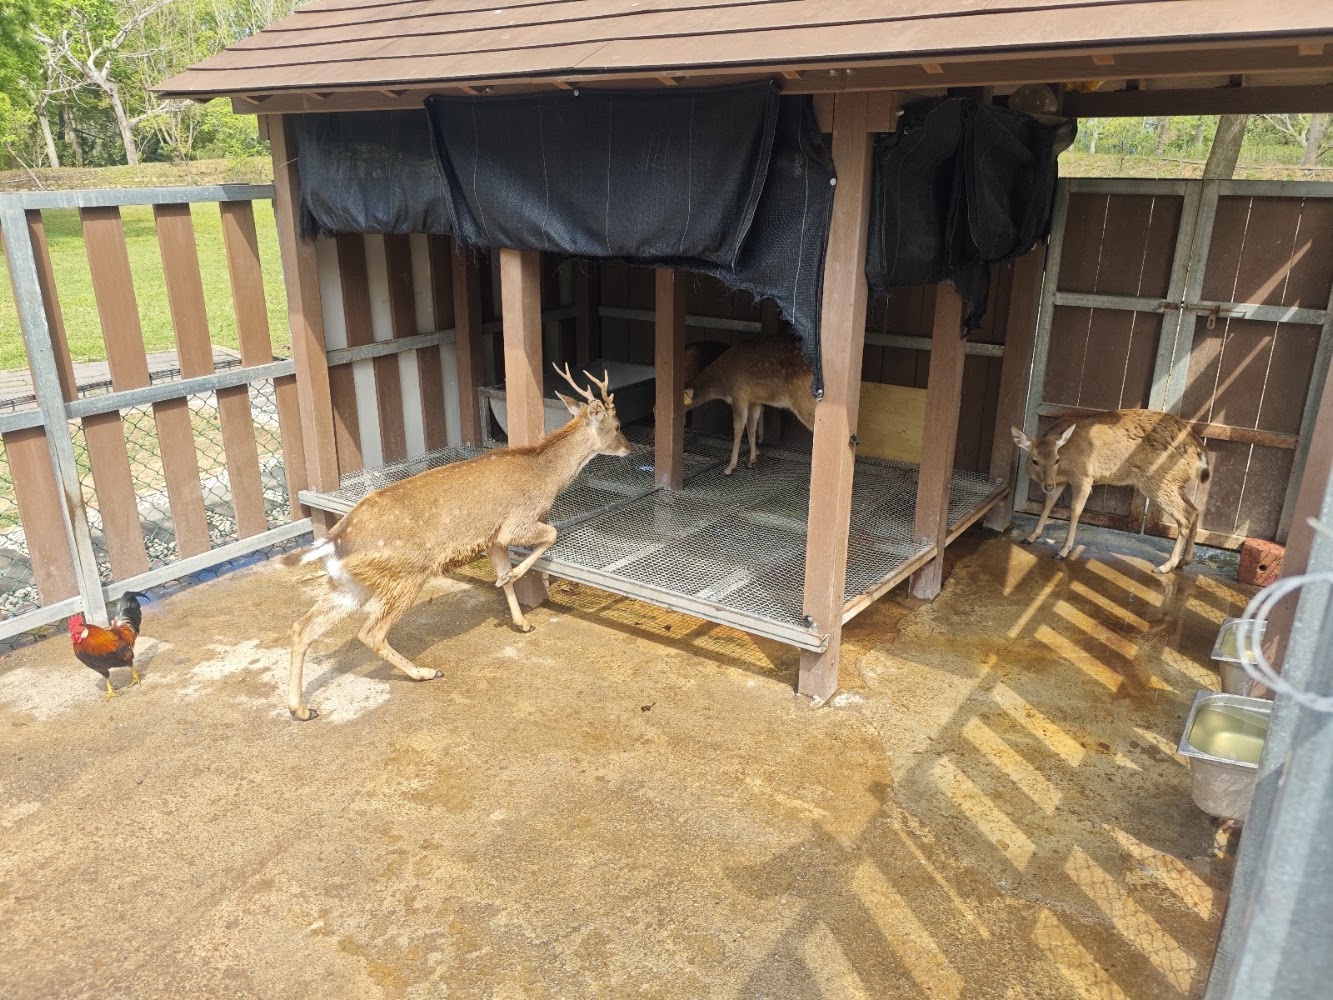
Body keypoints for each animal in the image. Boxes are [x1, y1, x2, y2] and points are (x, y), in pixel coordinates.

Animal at [283, 364, 631, 721]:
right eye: (618, 424)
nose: (629, 447)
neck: (546, 477)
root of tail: (336, 541)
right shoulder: (515, 522)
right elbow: (550, 535)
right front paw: (516, 579)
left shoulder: (491, 538)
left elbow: (504, 574)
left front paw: (522, 622)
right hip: (407, 573)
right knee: (370, 631)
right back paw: (424, 672)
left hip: (351, 584)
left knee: (302, 627)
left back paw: (301, 708)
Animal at [682, 336, 815, 475]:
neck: (723, 384)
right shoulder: (754, 400)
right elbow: (751, 426)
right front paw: (752, 461)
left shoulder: (739, 395)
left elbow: (738, 427)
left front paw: (730, 468)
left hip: (803, 400)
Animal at [1011, 408, 1211, 575]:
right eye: (1035, 460)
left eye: (1056, 459)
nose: (1047, 485)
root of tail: (1200, 452)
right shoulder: (1060, 482)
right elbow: (1047, 506)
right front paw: (1030, 537)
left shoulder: (1084, 476)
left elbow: (1075, 511)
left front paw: (1063, 551)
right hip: (1175, 483)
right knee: (1194, 511)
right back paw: (1185, 560)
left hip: (1160, 481)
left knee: (1184, 516)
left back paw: (1165, 566)